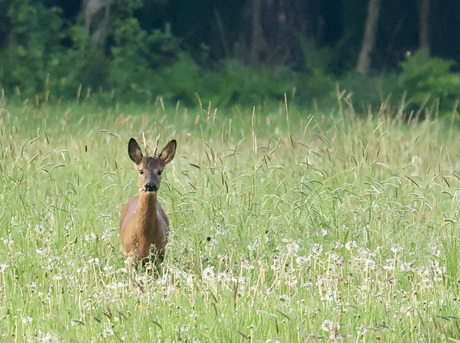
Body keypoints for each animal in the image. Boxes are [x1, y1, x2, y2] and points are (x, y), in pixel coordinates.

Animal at [118, 134, 176, 264]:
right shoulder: (130, 255)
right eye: (141, 171)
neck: (144, 239)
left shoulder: (159, 255)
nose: (150, 185)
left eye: (159, 171)